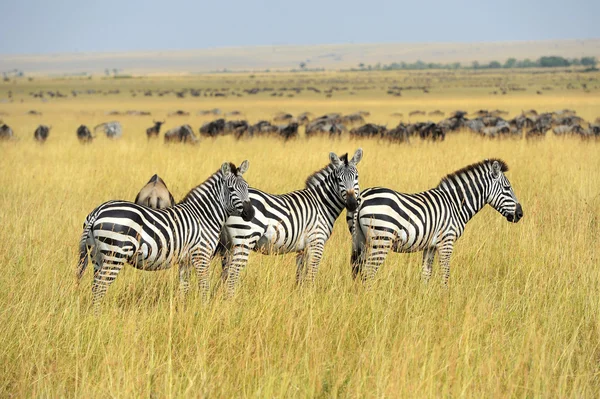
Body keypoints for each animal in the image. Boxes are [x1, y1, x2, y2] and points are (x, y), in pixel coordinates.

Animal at [76, 161, 254, 310]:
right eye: (231, 189)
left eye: (247, 187)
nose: (250, 213)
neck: (204, 215)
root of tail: (98, 211)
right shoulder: (201, 255)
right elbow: (204, 286)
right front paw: (205, 311)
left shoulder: (185, 260)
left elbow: (184, 287)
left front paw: (183, 311)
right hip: (116, 254)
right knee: (100, 286)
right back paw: (97, 316)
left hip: (97, 255)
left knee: (95, 285)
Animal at [219, 148, 364, 296]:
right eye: (339, 179)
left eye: (356, 177)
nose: (352, 204)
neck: (321, 203)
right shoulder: (316, 242)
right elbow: (311, 275)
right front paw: (310, 297)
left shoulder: (303, 248)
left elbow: (300, 276)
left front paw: (300, 296)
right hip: (245, 239)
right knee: (232, 274)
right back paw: (231, 299)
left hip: (228, 245)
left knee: (225, 273)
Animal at [350, 159, 524, 288]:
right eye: (507, 187)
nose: (520, 214)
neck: (455, 204)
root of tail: (362, 197)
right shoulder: (447, 241)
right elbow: (445, 273)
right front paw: (445, 300)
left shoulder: (430, 246)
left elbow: (426, 273)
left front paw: (424, 299)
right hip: (382, 240)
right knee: (369, 272)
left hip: (361, 240)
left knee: (358, 270)